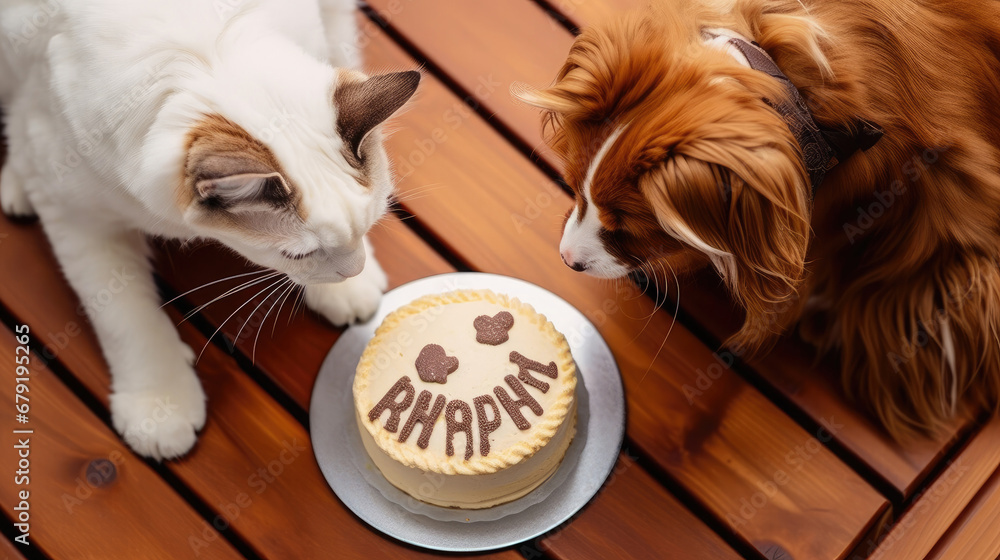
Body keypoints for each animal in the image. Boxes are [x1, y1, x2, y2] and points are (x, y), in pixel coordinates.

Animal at [0, 0, 416, 460]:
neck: (199, 56)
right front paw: (160, 406)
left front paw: (348, 288)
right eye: (299, 255)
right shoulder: (76, 213)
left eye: (371, 223)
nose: (353, 269)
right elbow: (125, 317)